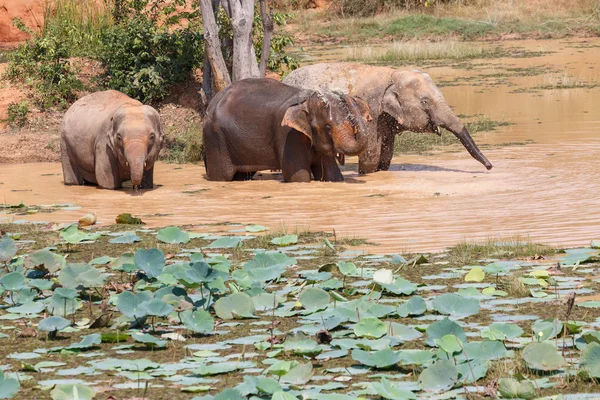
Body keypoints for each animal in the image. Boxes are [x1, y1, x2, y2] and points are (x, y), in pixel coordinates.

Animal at [202, 77, 370, 183]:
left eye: (352, 124)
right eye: (328, 127)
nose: (341, 93)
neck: (306, 100)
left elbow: (333, 175)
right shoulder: (288, 134)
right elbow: (298, 177)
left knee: (240, 176)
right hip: (215, 140)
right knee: (222, 176)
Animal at [284, 62, 494, 173]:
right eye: (425, 102)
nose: (490, 166)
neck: (393, 74)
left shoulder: (386, 119)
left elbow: (386, 152)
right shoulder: (370, 110)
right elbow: (370, 153)